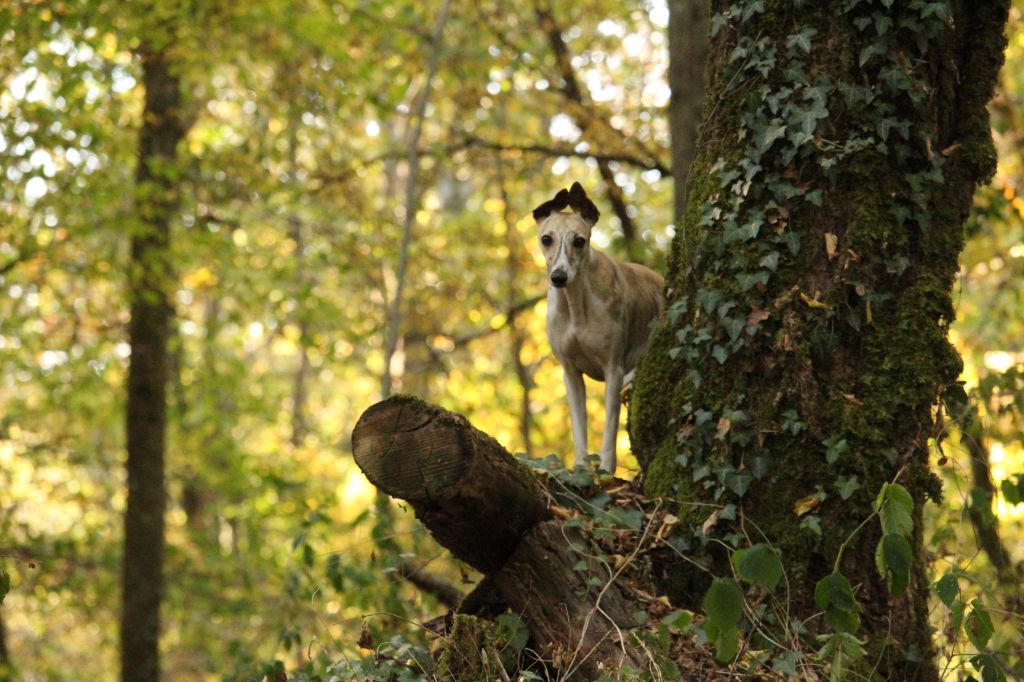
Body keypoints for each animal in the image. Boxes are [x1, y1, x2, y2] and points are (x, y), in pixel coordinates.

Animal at [532, 182, 667, 473]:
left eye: (579, 241)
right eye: (546, 238)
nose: (558, 277)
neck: (575, 304)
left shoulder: (612, 368)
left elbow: (609, 428)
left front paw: (605, 470)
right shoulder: (570, 372)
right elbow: (579, 429)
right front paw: (581, 470)